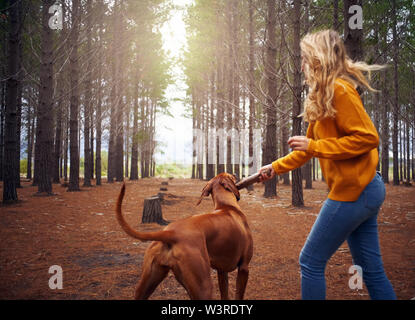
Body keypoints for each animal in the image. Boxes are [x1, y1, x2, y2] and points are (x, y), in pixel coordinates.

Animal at [115, 172, 255, 300]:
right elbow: (239, 295)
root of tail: (170, 232)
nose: (237, 173)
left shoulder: (222, 271)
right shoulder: (244, 268)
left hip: (148, 283)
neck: (226, 206)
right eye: (231, 175)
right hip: (203, 285)